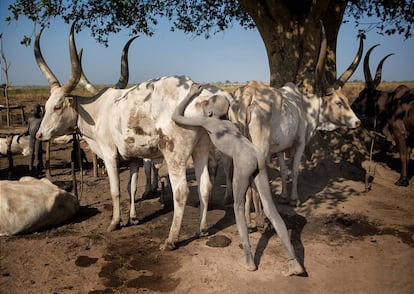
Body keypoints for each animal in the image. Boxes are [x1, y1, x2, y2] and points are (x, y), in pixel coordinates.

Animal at [34, 24, 233, 252]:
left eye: (58, 106)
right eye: (46, 105)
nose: (39, 134)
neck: (97, 110)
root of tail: (202, 99)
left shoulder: (110, 154)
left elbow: (115, 190)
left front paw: (115, 222)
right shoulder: (134, 158)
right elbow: (131, 187)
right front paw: (133, 218)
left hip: (175, 154)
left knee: (181, 191)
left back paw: (171, 239)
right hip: (201, 149)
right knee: (205, 186)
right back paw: (202, 230)